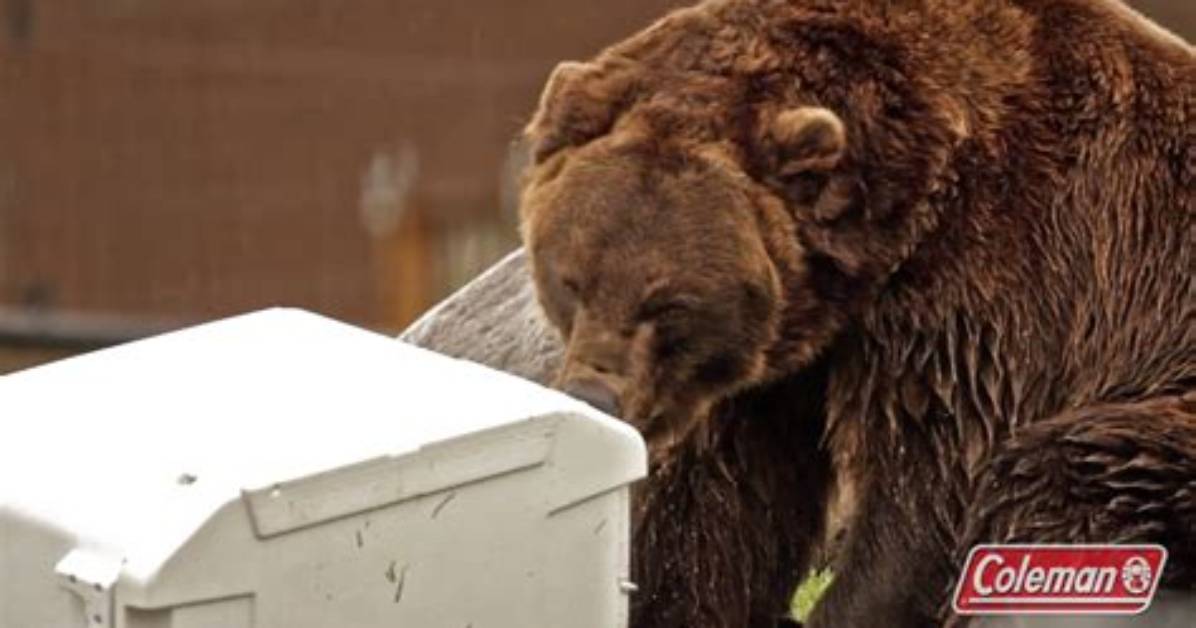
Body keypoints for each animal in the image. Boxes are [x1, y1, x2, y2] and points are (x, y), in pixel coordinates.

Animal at [513, 0, 1195, 626]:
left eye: (670, 303)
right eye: (570, 280)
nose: (595, 394)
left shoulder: (996, 280)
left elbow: (934, 478)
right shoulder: (777, 366)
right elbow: (715, 505)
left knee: (1066, 463)